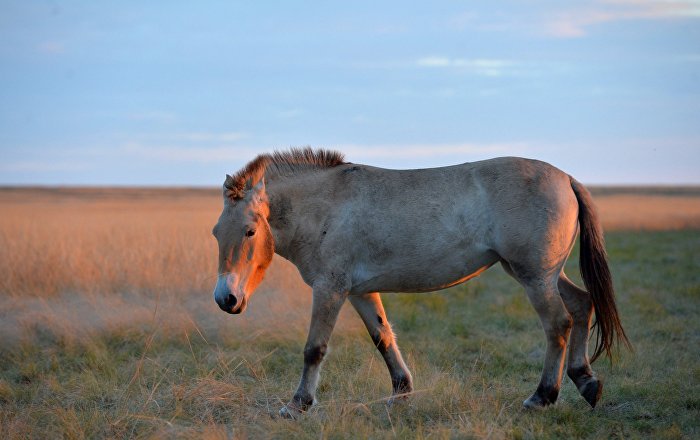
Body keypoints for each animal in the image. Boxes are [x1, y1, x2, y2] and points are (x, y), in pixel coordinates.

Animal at [211, 147, 632, 416]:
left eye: (250, 231)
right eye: (217, 233)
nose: (225, 299)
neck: (327, 204)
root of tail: (566, 178)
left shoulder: (330, 289)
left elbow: (314, 349)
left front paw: (297, 405)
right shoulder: (360, 292)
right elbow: (383, 338)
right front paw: (401, 393)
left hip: (535, 277)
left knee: (558, 324)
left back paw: (542, 397)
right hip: (542, 274)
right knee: (581, 304)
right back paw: (586, 382)